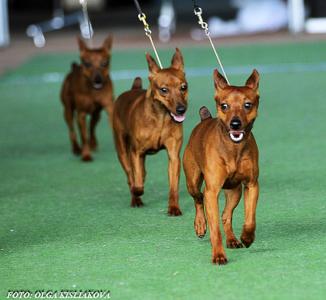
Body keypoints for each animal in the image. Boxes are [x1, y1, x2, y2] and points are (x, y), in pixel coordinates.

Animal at [112, 48, 187, 214]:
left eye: (183, 87)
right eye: (164, 90)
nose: (181, 109)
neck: (160, 118)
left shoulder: (174, 156)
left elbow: (173, 187)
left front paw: (173, 207)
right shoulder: (136, 153)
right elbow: (137, 181)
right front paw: (137, 191)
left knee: (142, 173)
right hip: (122, 152)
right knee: (130, 175)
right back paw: (135, 199)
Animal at [183, 68, 260, 264]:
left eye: (247, 105)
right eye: (224, 106)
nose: (235, 123)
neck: (233, 149)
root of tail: (205, 118)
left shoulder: (252, 185)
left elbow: (250, 217)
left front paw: (247, 236)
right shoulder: (212, 192)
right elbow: (214, 229)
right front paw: (218, 255)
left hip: (235, 191)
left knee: (226, 215)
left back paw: (232, 239)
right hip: (192, 181)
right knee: (198, 198)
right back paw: (200, 224)